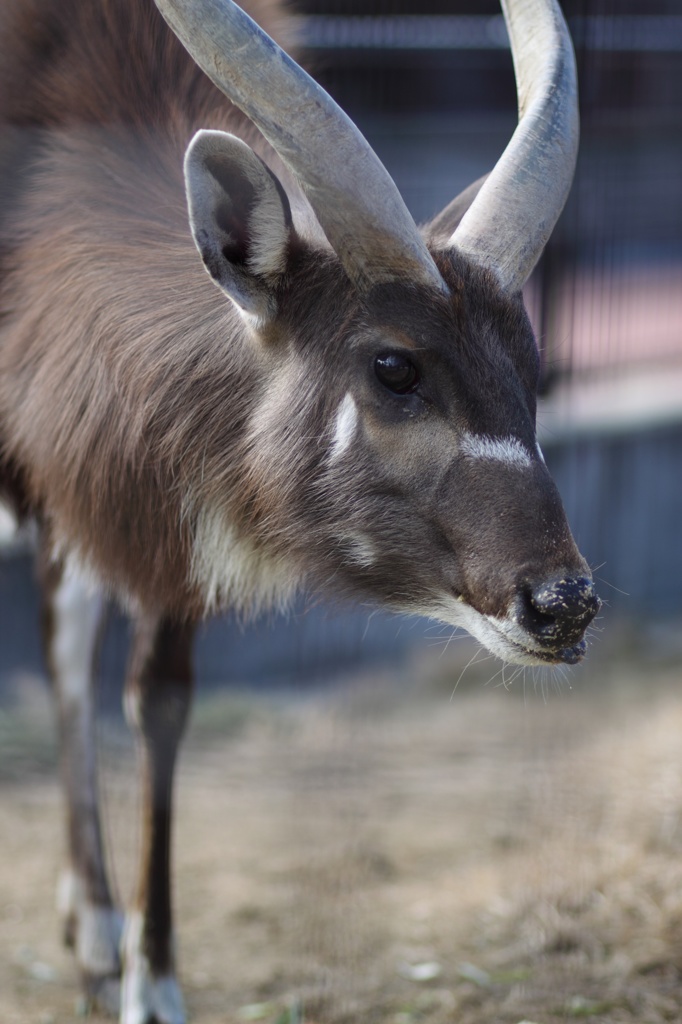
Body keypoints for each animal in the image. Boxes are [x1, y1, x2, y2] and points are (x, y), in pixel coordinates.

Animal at [0, 0, 593, 1019]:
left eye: (532, 362)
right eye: (394, 364)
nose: (562, 603)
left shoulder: (157, 522)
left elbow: (158, 697)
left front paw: (146, 974)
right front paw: (140, 978)